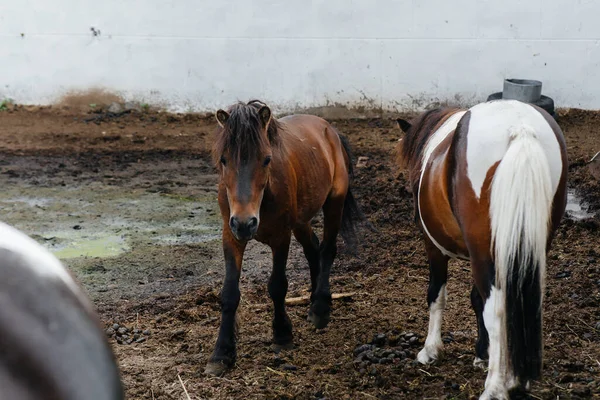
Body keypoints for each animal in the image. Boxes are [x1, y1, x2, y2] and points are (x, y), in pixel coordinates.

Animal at [206, 99, 366, 376]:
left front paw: (282, 335)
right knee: (313, 249)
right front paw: (222, 353)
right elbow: (229, 293)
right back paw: (314, 299)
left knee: (327, 250)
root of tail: (329, 130)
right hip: (300, 221)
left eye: (267, 159)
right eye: (223, 159)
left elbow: (277, 286)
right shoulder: (231, 235)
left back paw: (320, 309)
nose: (246, 223)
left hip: (334, 203)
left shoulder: (281, 236)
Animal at [398, 100, 568, 400]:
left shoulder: (435, 247)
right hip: (528, 249)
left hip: (484, 253)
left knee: (498, 310)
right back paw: (518, 379)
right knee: (522, 301)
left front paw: (430, 350)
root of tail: (520, 127)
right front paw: (481, 354)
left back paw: (496, 387)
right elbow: (476, 298)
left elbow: (437, 295)